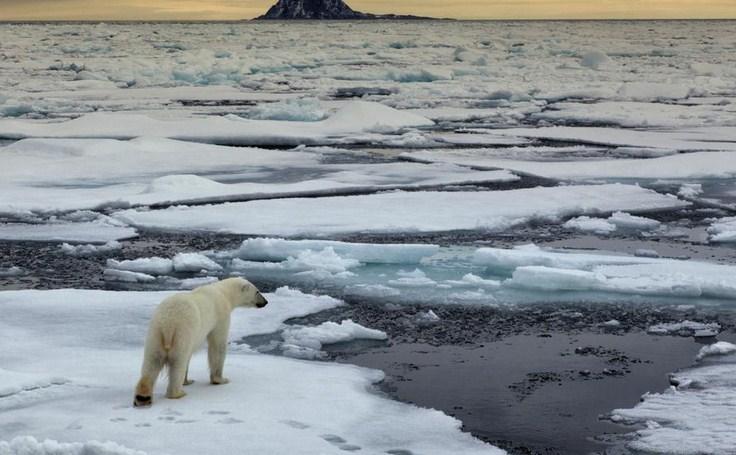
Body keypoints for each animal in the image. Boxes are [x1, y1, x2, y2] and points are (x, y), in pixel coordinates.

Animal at [134, 276, 268, 408]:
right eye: (258, 291)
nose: (266, 302)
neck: (223, 292)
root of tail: (168, 324)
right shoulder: (220, 316)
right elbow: (218, 346)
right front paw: (220, 380)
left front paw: (187, 381)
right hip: (182, 333)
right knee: (178, 362)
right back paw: (178, 393)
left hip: (155, 335)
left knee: (151, 362)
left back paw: (142, 397)